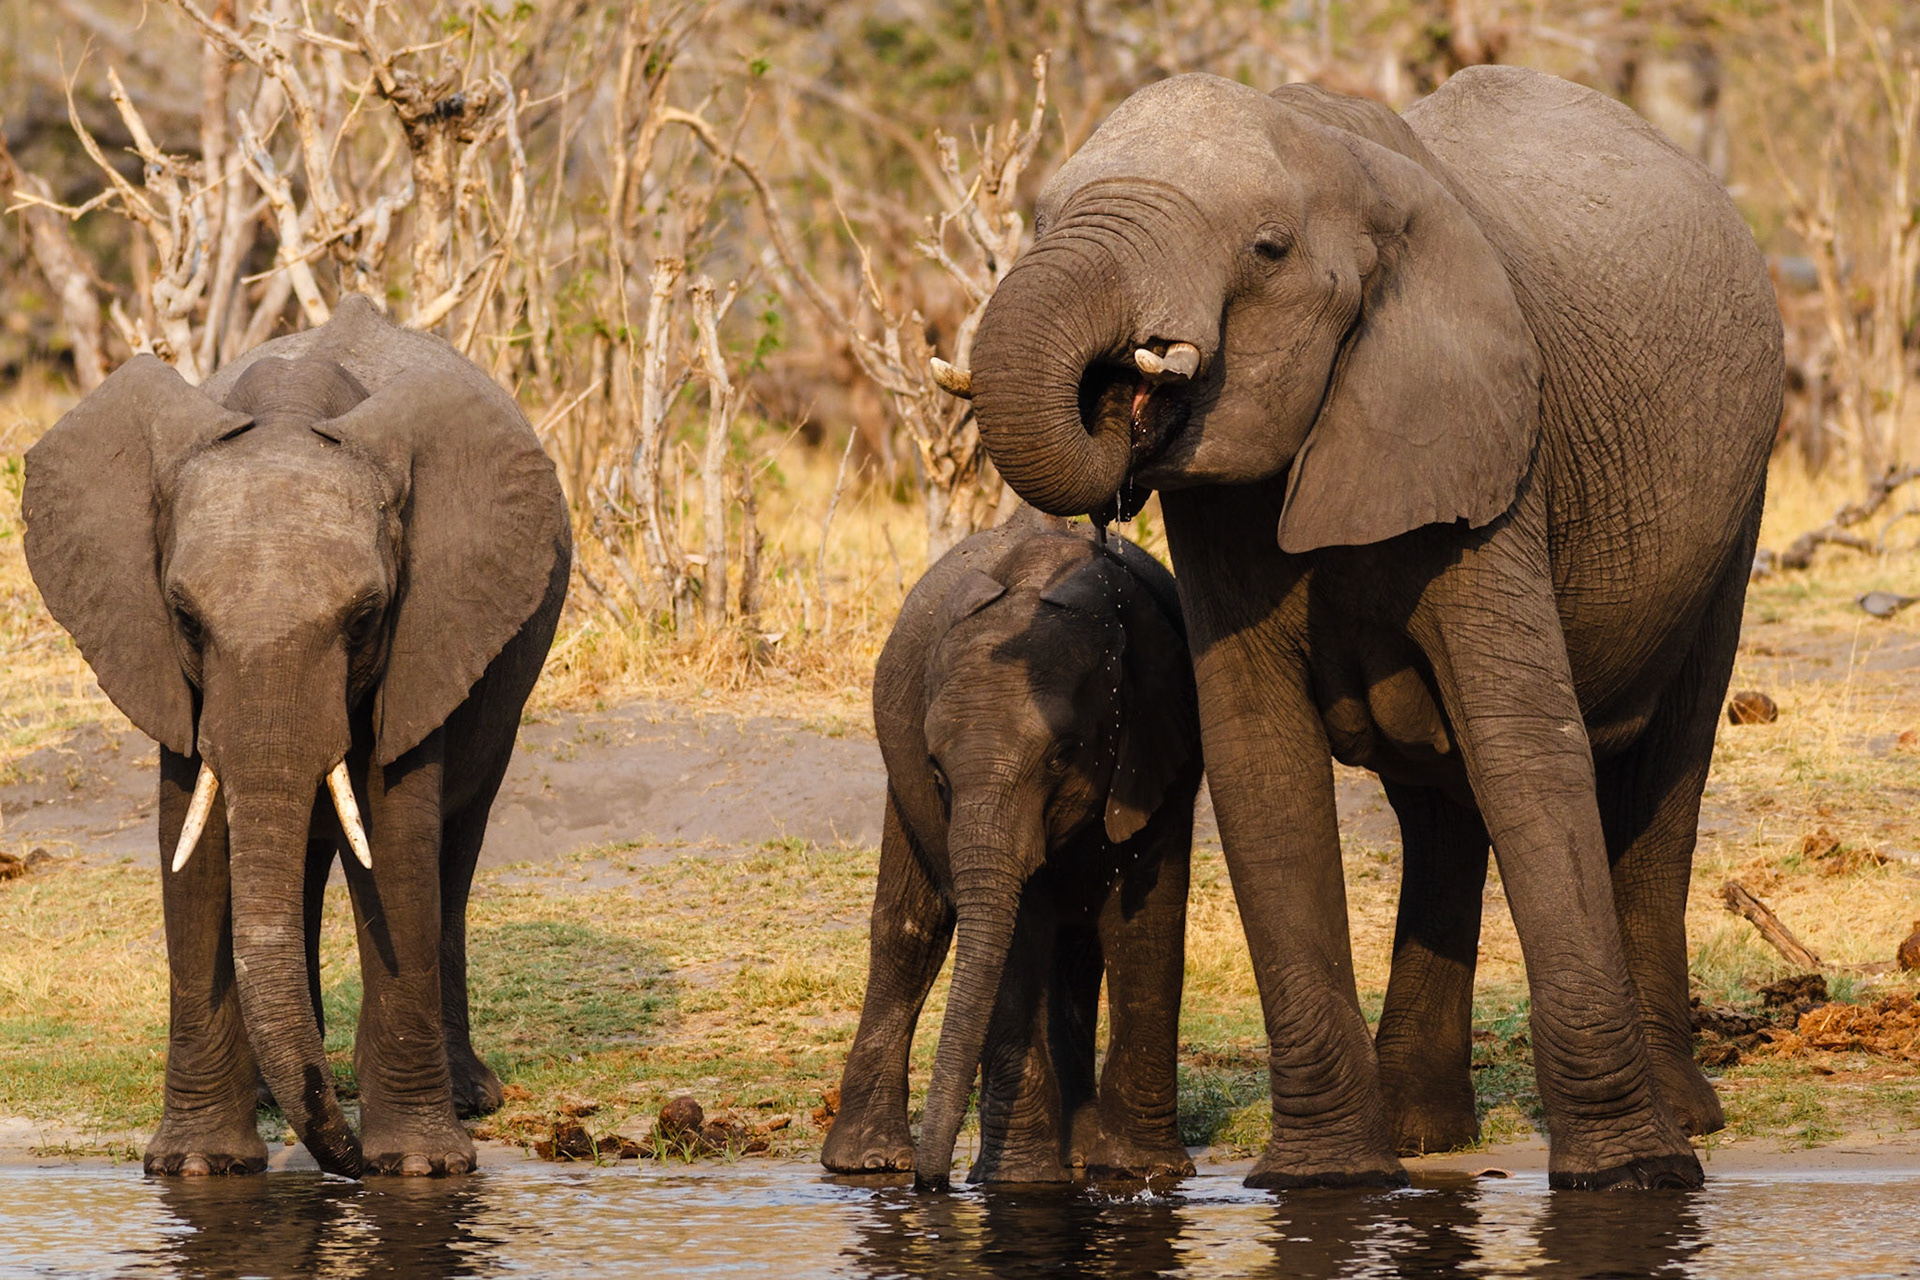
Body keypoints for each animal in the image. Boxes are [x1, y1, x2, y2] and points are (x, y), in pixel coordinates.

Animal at [22, 295, 571, 1178]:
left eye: (366, 616)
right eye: (184, 616)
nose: (344, 1157)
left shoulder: (426, 630)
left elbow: (396, 837)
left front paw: (418, 1169)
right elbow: (193, 845)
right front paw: (199, 1168)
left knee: (455, 849)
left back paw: (449, 1098)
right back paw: (277, 1098)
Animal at [822, 509, 1201, 1187]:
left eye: (1062, 755)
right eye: (939, 772)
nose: (935, 1182)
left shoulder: (1164, 744)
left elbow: (1145, 922)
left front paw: (1143, 1174)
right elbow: (1016, 936)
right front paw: (1019, 1183)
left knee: (1075, 954)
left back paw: (1080, 1153)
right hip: (898, 781)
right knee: (913, 931)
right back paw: (870, 1161)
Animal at [962, 66, 1782, 1190]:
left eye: (1266, 249)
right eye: (1042, 218)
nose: (1120, 388)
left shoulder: (1494, 449)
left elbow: (1526, 746)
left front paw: (1629, 1178)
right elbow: (1262, 770)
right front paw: (1325, 1184)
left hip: (1737, 499)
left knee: (1663, 777)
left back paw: (1683, 1120)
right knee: (1442, 808)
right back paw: (1423, 1134)